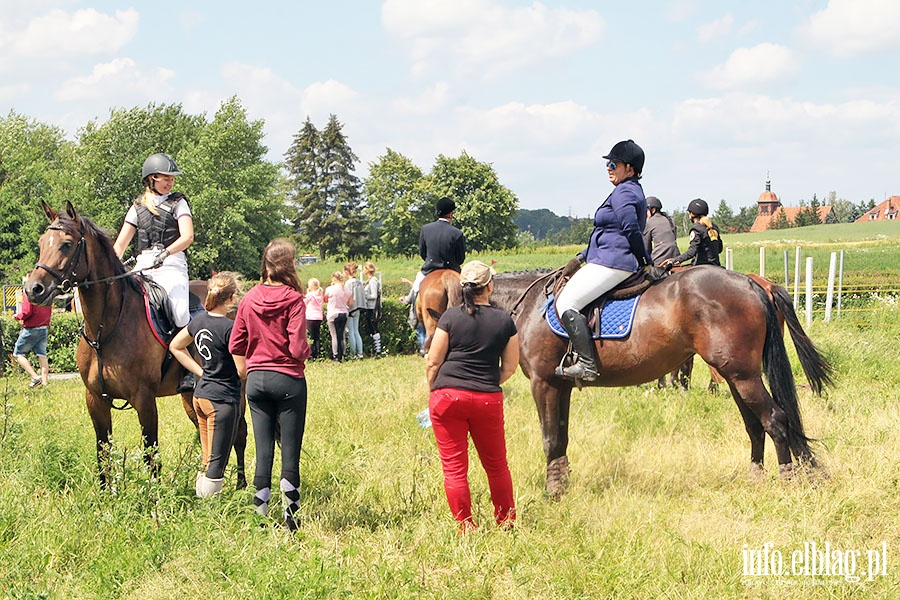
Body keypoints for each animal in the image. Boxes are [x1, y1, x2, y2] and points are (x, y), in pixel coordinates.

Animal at [26, 202, 248, 488]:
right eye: (42, 242)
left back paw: (241, 486)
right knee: (205, 429)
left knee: (238, 432)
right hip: (192, 395)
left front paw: (154, 497)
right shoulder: (95, 399)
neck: (105, 330)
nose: (33, 289)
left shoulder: (144, 399)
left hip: (235, 390)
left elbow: (150, 454)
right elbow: (103, 452)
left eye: (66, 244)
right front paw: (106, 494)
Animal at [482, 266, 832, 496]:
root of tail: (753, 283)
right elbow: (562, 436)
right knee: (755, 425)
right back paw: (756, 479)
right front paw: (563, 485)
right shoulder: (561, 385)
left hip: (743, 376)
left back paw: (786, 480)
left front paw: (553, 492)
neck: (526, 306)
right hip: (737, 377)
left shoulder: (544, 383)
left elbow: (551, 438)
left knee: (775, 419)